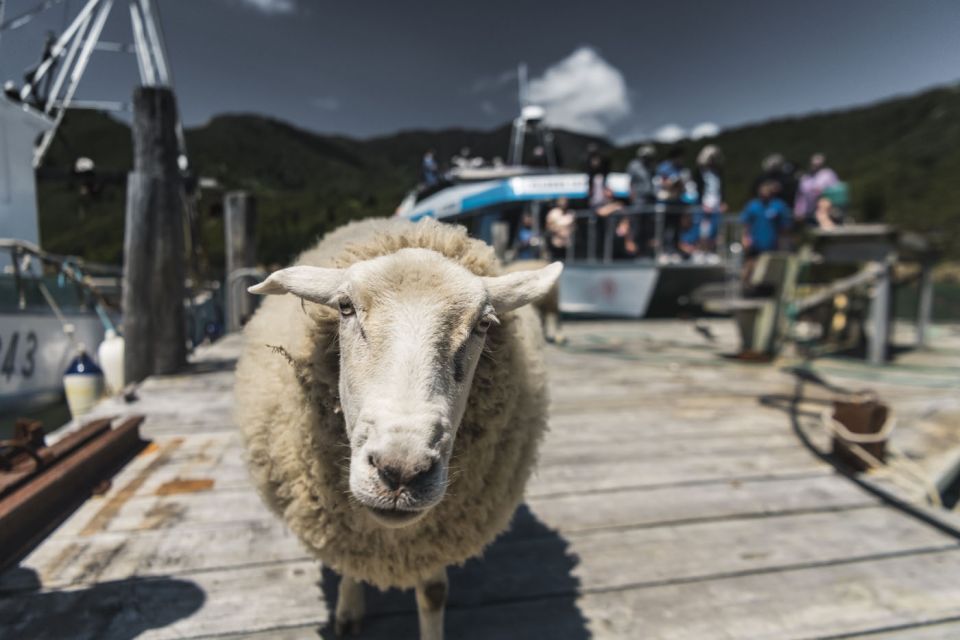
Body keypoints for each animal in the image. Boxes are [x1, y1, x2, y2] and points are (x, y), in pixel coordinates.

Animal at [234, 218, 564, 636]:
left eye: (483, 324)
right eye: (345, 307)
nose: (402, 471)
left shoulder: (434, 535)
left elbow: (434, 594)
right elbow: (350, 558)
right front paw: (348, 611)